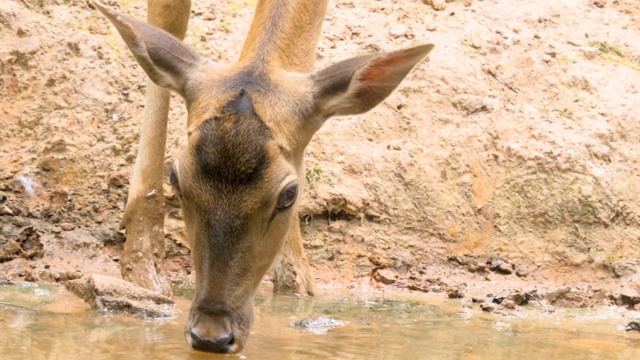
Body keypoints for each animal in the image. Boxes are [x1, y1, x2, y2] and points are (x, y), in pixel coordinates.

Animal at [92, 0, 432, 354]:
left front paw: (298, 284)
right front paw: (144, 267)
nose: (211, 336)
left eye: (289, 194)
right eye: (176, 180)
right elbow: (169, 19)